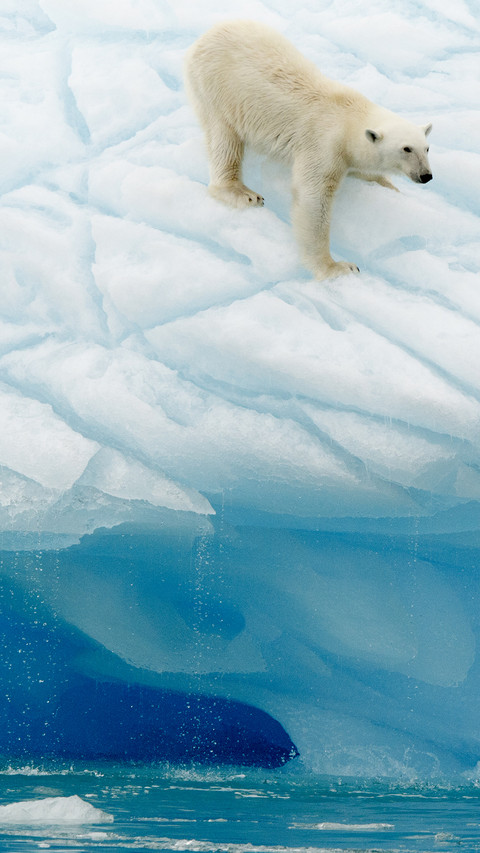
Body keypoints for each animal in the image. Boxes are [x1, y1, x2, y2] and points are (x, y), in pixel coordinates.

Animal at [184, 20, 433, 281]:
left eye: (427, 148)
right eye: (406, 149)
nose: (426, 176)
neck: (349, 116)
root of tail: (203, 38)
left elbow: (364, 170)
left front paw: (390, 187)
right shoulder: (324, 145)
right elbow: (313, 199)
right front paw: (337, 267)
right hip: (216, 89)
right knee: (224, 138)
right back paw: (243, 193)